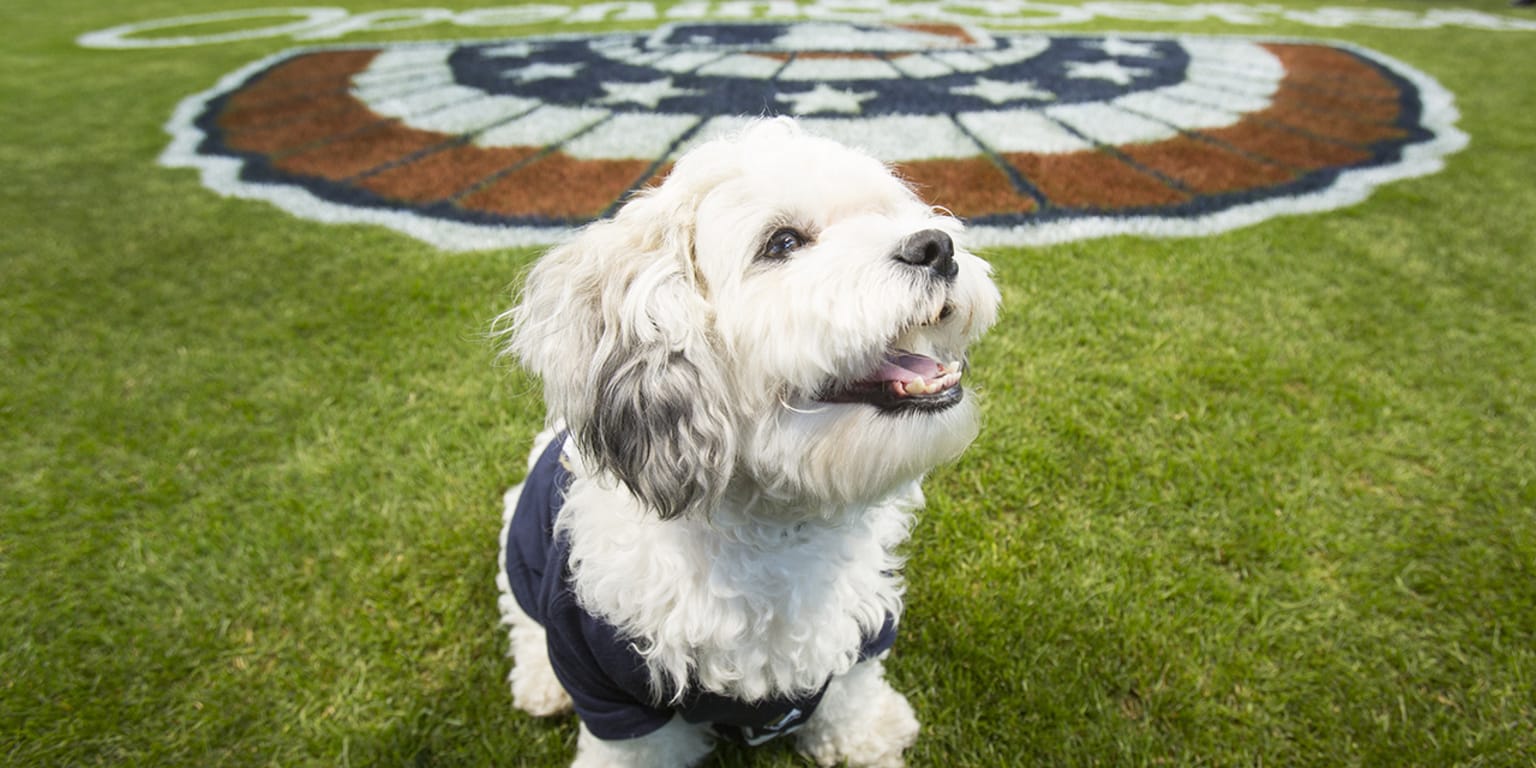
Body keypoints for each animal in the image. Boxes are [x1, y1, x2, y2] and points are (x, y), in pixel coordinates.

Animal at [491, 115, 995, 768]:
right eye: (782, 243)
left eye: (888, 213)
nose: (937, 245)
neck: (775, 526)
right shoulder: (606, 684)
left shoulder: (860, 624)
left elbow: (851, 687)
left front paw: (865, 736)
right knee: (523, 624)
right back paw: (540, 685)